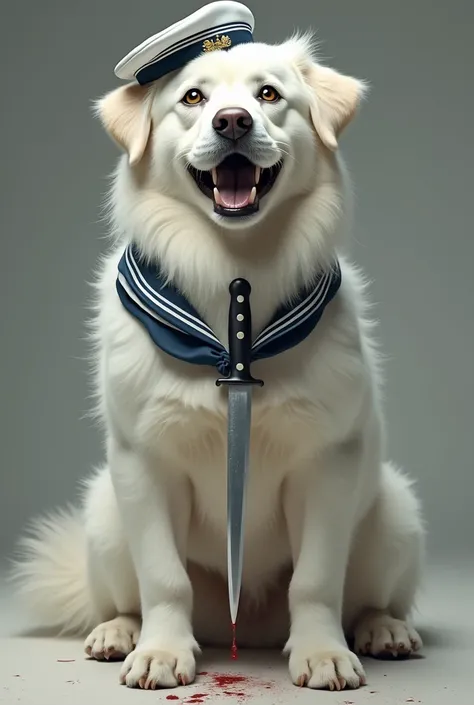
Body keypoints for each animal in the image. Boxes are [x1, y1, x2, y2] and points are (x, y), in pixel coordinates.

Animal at [12, 35, 424, 692]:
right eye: (193, 98)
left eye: (269, 94)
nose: (232, 121)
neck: (236, 268)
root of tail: (246, 627)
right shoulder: (145, 462)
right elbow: (163, 579)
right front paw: (160, 652)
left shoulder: (327, 463)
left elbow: (316, 581)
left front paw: (322, 653)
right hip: (104, 514)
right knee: (124, 597)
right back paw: (119, 632)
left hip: (396, 516)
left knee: (368, 598)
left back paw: (383, 629)